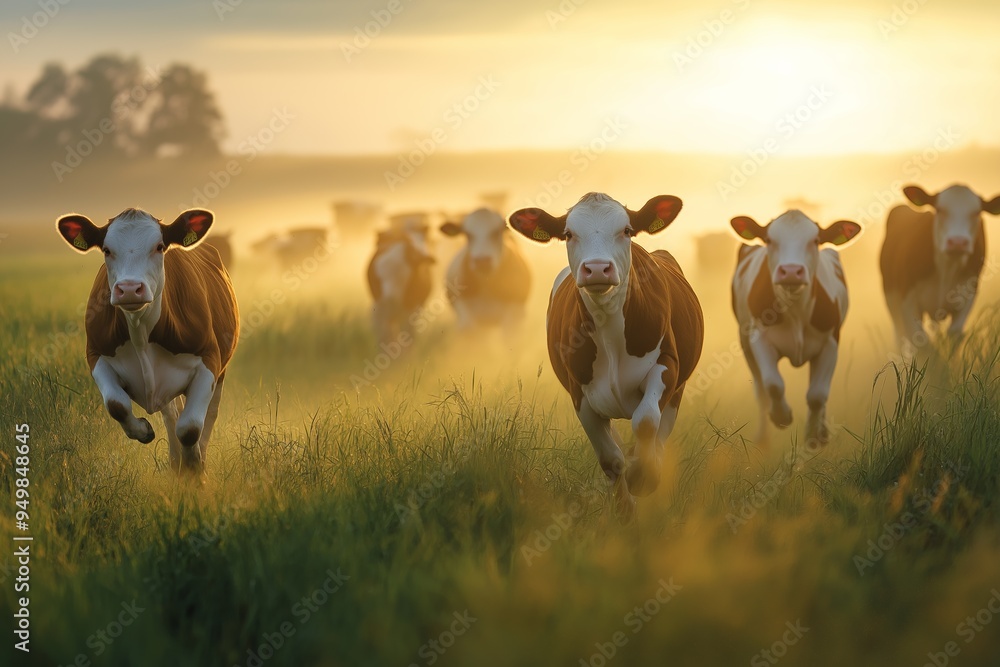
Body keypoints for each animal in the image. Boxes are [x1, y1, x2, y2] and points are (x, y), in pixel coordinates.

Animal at [56, 207, 239, 477]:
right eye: (106, 250)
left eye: (160, 247)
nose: (130, 289)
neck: (140, 332)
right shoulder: (96, 355)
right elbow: (117, 404)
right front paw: (144, 431)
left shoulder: (209, 359)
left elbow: (191, 427)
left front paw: (194, 469)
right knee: (171, 414)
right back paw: (175, 461)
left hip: (221, 369)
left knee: (208, 414)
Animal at [509, 193, 703, 519]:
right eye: (568, 234)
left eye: (626, 230)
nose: (598, 268)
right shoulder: (579, 392)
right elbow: (611, 459)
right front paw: (625, 512)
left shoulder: (668, 364)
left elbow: (646, 421)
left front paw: (644, 475)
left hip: (677, 392)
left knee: (660, 435)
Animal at [729, 210, 862, 447]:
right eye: (769, 240)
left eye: (815, 240)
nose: (791, 271)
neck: (796, 309)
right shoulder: (758, 338)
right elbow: (773, 384)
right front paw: (781, 416)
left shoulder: (831, 342)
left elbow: (818, 394)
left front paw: (814, 436)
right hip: (745, 344)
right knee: (761, 391)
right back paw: (763, 440)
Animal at [880, 184, 1000, 358]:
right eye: (940, 210)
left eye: (976, 212)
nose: (958, 242)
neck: (947, 269)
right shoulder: (906, 301)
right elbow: (921, 341)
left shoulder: (968, 296)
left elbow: (954, 335)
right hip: (892, 300)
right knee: (900, 337)